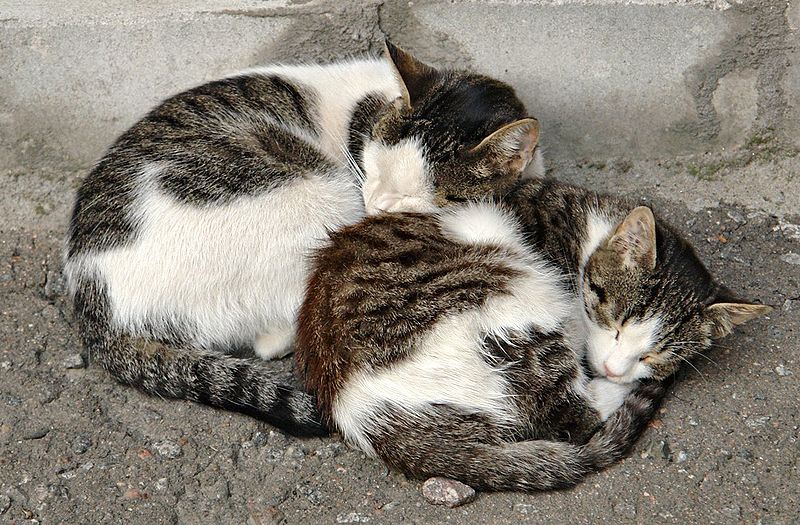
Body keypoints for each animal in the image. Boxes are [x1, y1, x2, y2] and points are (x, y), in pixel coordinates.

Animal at [62, 41, 540, 436]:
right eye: (377, 166)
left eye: (414, 193)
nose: (378, 203)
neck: (366, 111)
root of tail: (97, 309)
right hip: (315, 196)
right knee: (278, 332)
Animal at [296, 177, 768, 492]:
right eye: (615, 322)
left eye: (654, 354)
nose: (616, 368)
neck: (586, 235)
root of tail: (355, 409)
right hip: (514, 295)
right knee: (575, 417)